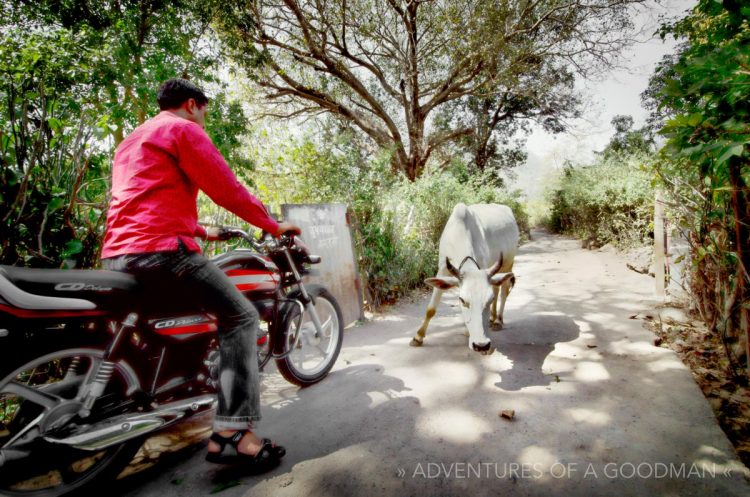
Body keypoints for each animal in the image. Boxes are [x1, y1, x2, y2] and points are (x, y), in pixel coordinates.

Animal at [412, 202, 516, 352]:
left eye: (488, 300)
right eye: (462, 300)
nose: (482, 345)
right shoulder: (442, 269)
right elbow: (431, 309)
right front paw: (418, 337)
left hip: (509, 263)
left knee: (503, 292)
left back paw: (498, 320)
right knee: (497, 290)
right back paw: (492, 318)